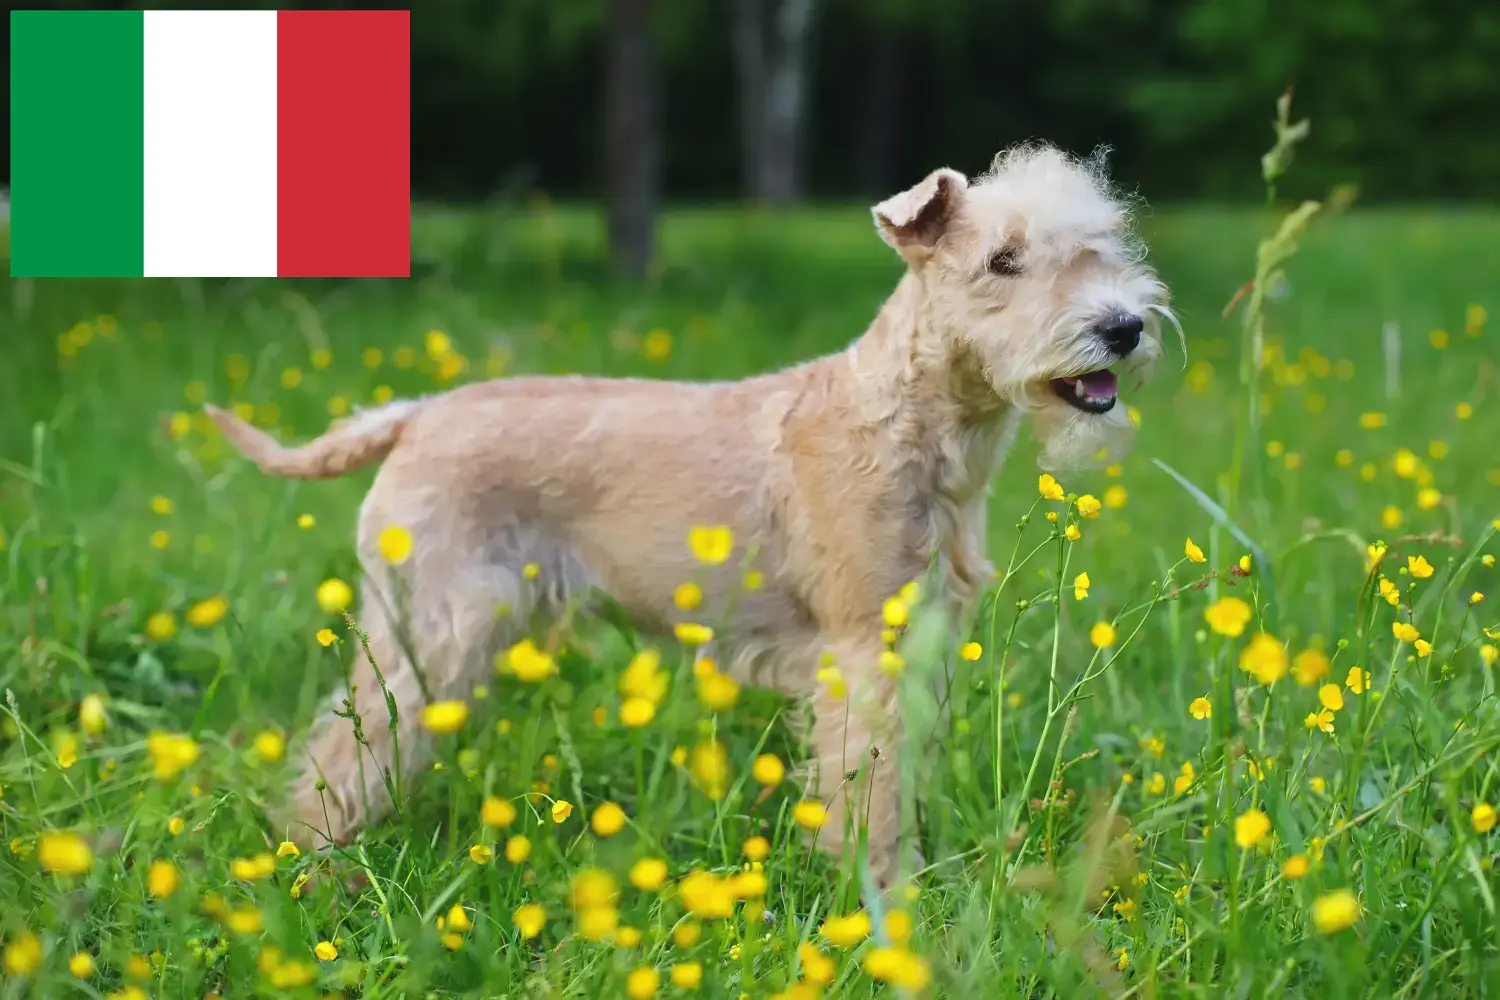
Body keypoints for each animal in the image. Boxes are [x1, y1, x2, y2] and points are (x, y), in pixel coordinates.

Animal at [208, 142, 1170, 881]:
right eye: (1001, 262)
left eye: (1102, 246)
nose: (1122, 327)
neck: (907, 419)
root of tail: (411, 415)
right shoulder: (863, 650)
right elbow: (869, 784)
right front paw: (881, 892)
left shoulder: (918, 641)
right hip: (431, 632)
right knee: (342, 754)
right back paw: (313, 866)